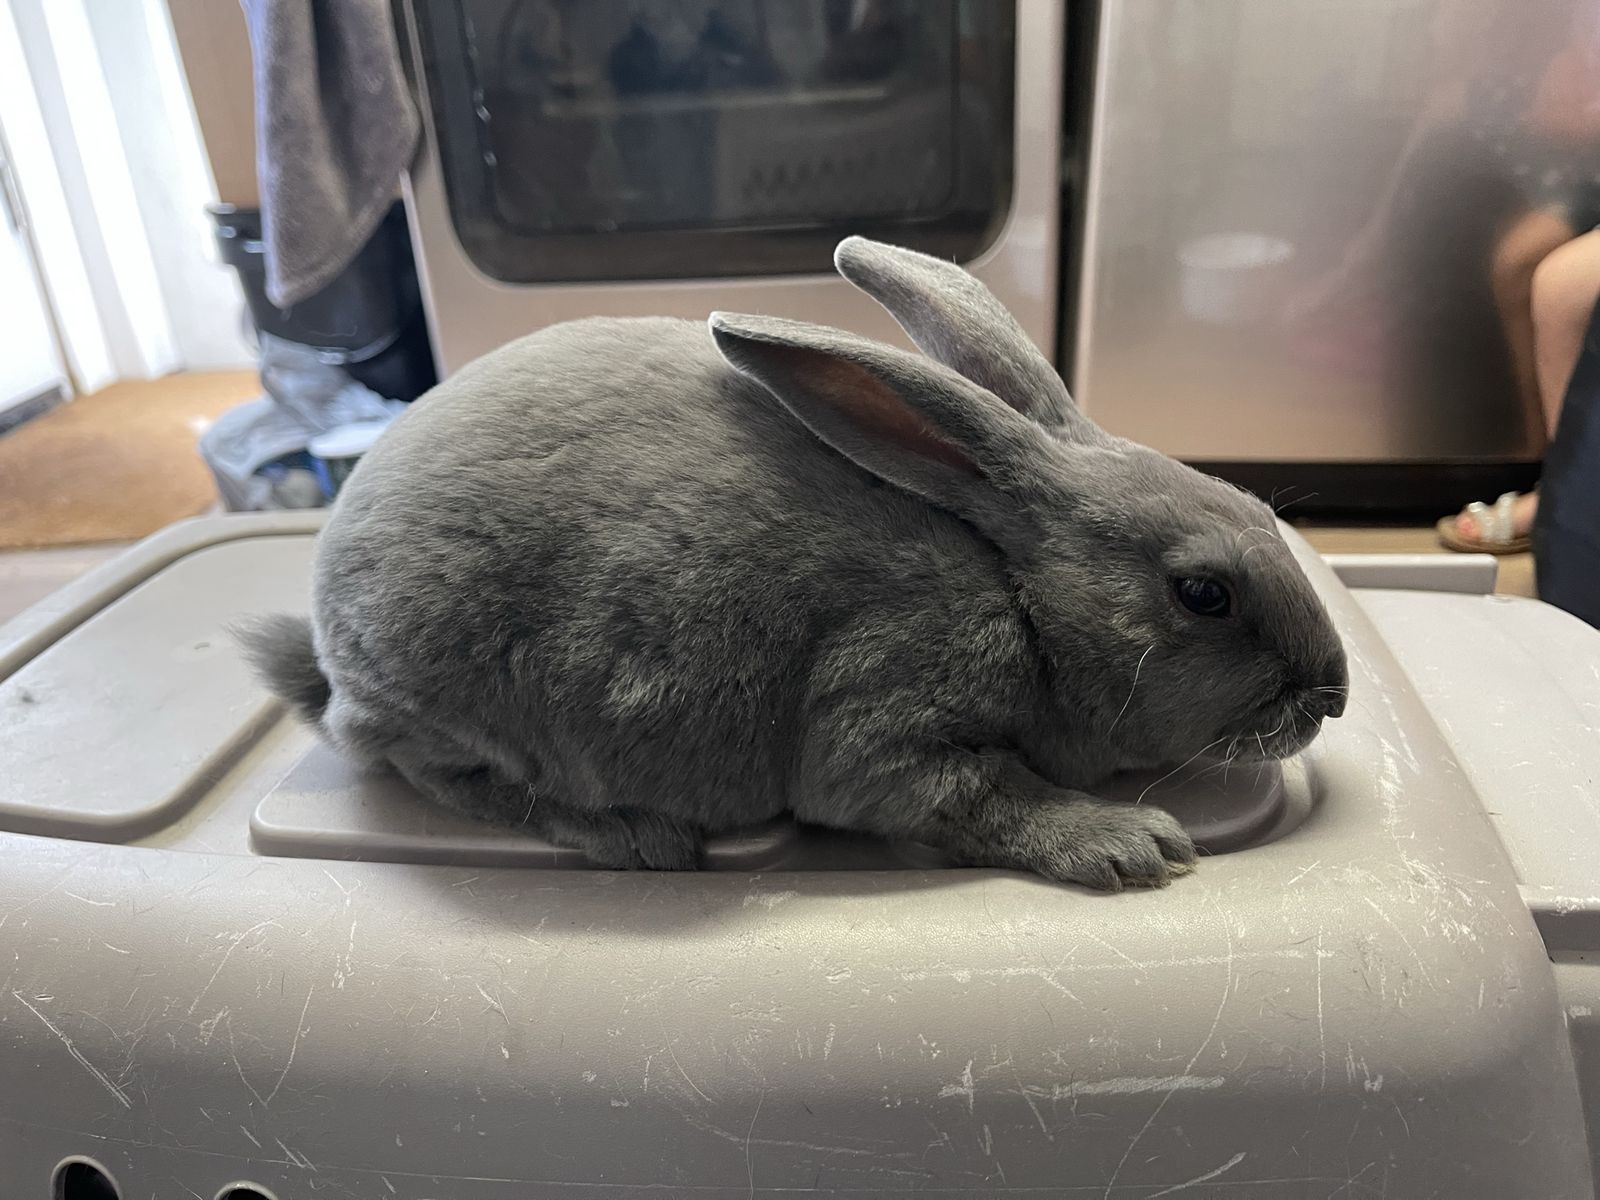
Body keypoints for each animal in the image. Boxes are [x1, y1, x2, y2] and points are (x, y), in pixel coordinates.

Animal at [241, 236, 1347, 891]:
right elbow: (982, 797)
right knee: (431, 769)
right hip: (455, 696)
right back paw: (633, 834)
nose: (1332, 694)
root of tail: (329, 654)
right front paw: (1132, 843)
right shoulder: (881, 724)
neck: (1020, 594)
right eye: (1203, 594)